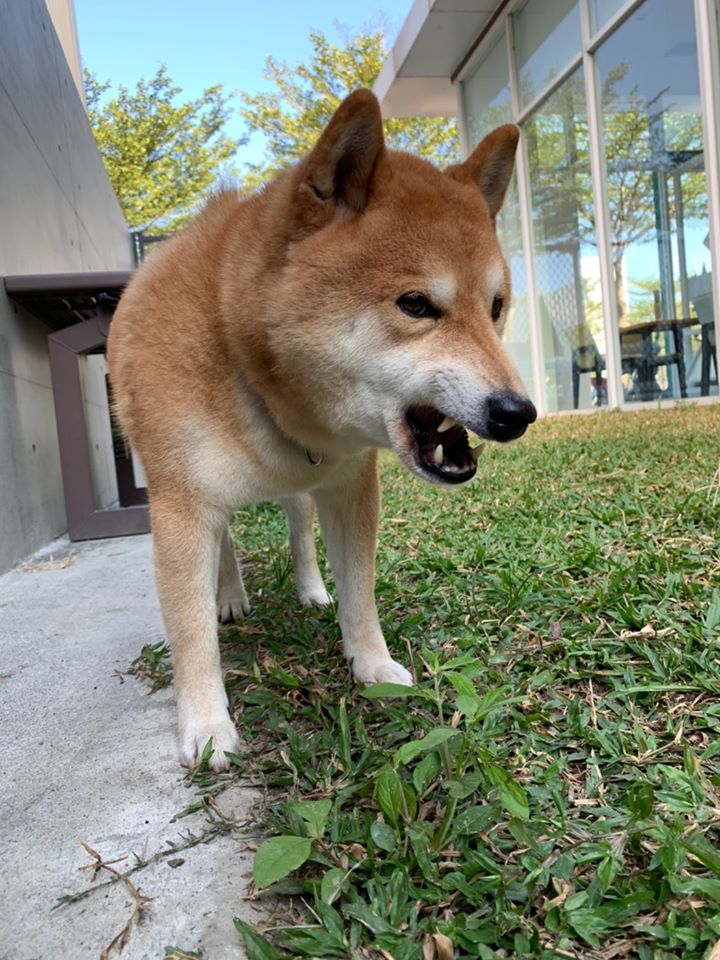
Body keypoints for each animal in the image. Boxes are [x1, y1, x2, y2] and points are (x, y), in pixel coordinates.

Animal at [107, 89, 536, 771]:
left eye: (496, 308)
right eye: (416, 305)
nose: (517, 412)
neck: (248, 367)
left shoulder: (348, 486)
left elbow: (359, 590)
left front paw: (373, 665)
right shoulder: (181, 508)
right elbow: (190, 630)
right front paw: (205, 724)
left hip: (298, 493)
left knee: (297, 531)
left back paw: (308, 587)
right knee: (226, 545)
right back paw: (229, 594)